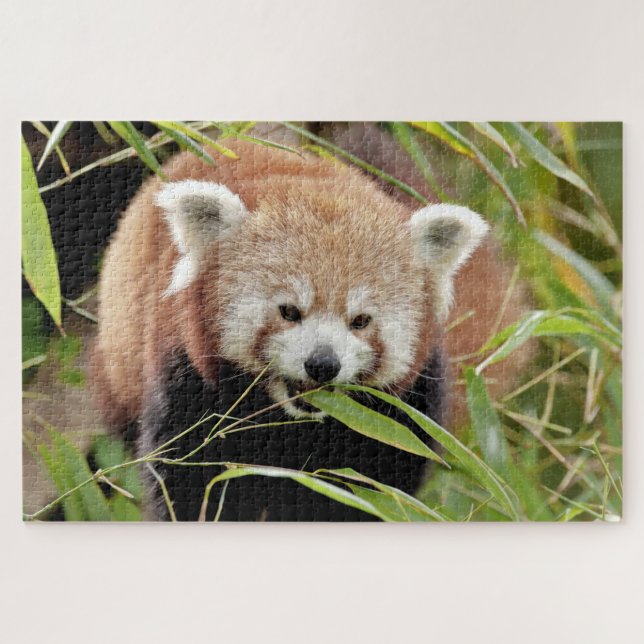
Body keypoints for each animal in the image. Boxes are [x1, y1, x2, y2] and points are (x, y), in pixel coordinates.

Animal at [92, 136, 498, 521]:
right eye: (289, 311)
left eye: (360, 321)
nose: (322, 364)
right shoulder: (186, 376)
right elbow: (190, 478)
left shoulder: (401, 413)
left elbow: (376, 488)